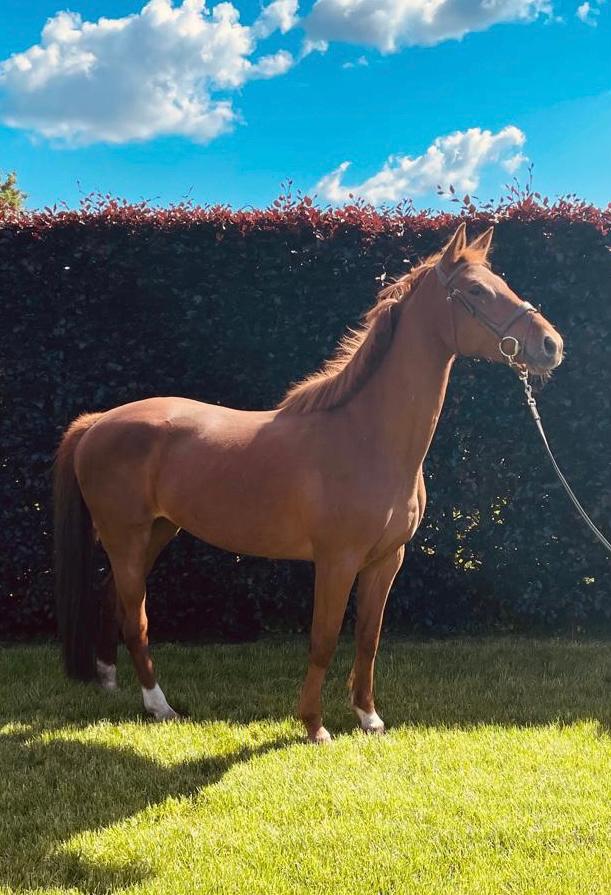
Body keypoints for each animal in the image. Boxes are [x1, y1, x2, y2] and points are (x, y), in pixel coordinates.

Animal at [54, 223, 563, 743]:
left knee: (113, 601)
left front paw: (368, 717)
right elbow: (324, 639)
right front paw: (314, 725)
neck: (367, 437)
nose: (551, 344)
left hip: (157, 532)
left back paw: (110, 683)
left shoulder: (386, 560)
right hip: (126, 537)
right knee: (136, 619)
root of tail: (96, 423)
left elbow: (368, 639)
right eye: (477, 291)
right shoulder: (337, 560)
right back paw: (160, 706)